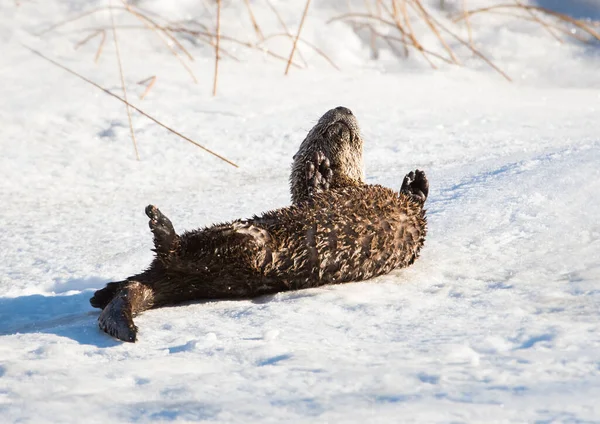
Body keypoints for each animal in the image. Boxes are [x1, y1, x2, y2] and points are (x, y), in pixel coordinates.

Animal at [90, 106, 426, 342]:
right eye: (315, 129)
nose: (343, 109)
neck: (343, 183)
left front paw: (416, 180)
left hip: (247, 244)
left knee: (170, 253)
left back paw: (155, 230)